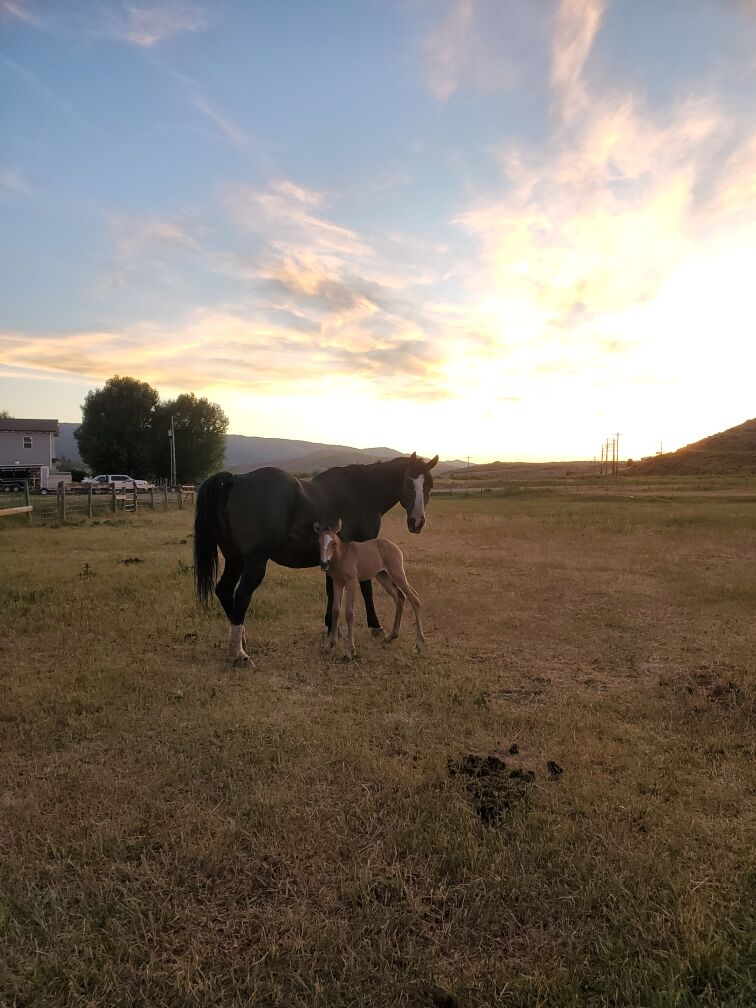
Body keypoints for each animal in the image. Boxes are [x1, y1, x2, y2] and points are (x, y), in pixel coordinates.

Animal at [315, 520, 424, 658]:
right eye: (319, 542)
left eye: (334, 543)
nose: (324, 564)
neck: (343, 556)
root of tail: (395, 547)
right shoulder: (338, 583)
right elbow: (335, 610)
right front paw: (329, 646)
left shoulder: (351, 582)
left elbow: (349, 613)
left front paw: (349, 651)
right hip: (383, 576)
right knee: (400, 597)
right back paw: (391, 636)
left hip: (397, 574)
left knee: (414, 598)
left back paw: (418, 644)